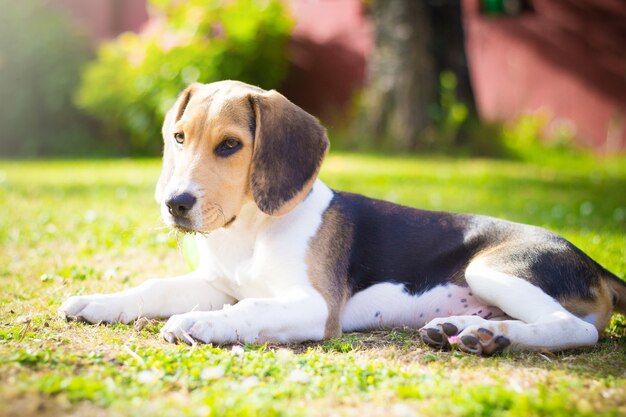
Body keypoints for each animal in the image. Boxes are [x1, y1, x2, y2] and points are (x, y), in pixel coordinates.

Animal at [61, 79, 624, 352]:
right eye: (178, 138)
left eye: (230, 145)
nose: (175, 204)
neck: (250, 230)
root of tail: (594, 263)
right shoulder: (218, 283)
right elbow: (154, 287)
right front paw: (99, 301)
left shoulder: (313, 306)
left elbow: (250, 310)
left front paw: (201, 322)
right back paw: (470, 331)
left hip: (492, 268)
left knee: (577, 330)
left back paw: (496, 338)